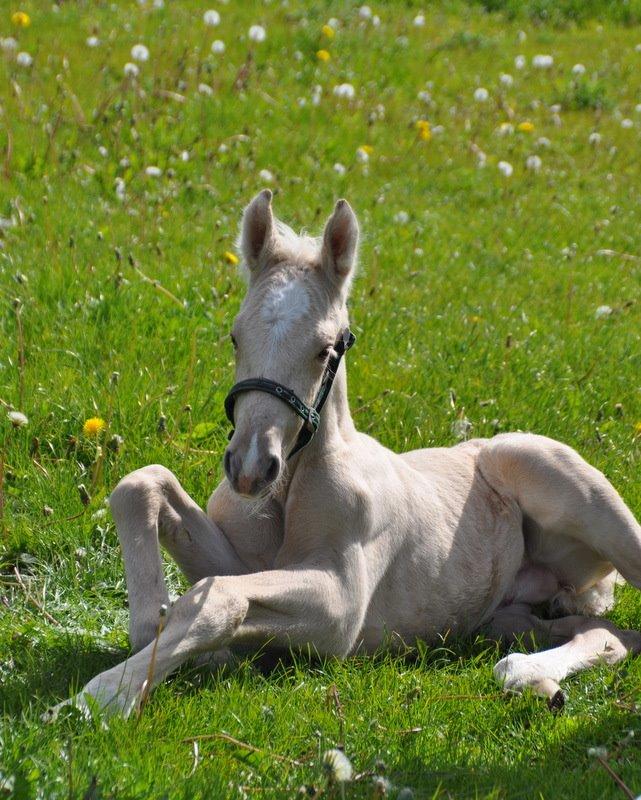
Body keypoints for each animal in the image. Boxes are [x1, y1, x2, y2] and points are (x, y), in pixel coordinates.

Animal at [55, 191, 640, 716]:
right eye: (235, 337)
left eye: (325, 348)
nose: (250, 469)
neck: (292, 484)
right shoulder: (248, 560)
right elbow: (142, 484)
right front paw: (155, 628)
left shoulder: (340, 611)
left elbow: (217, 595)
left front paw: (105, 695)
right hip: (509, 614)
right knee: (610, 634)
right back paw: (534, 677)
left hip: (559, 482)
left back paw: (525, 674)